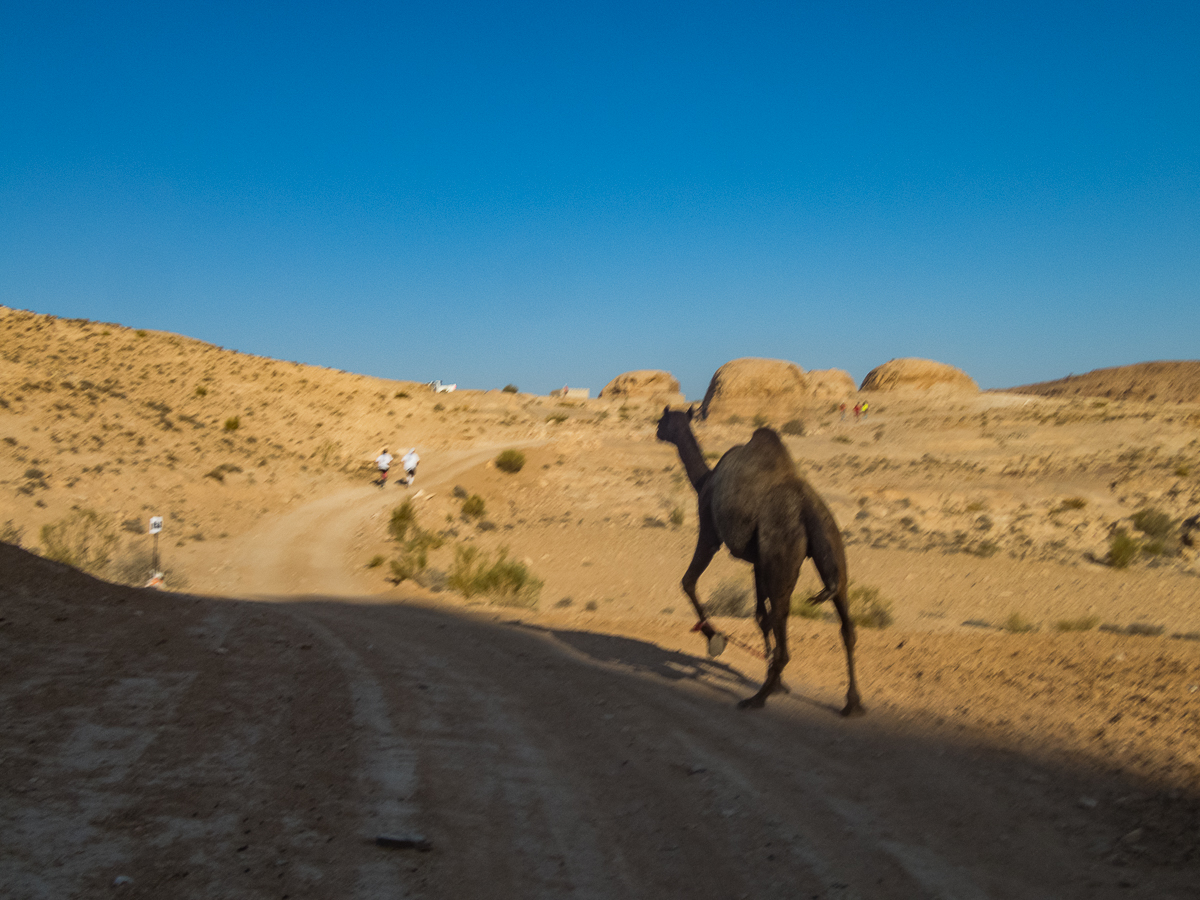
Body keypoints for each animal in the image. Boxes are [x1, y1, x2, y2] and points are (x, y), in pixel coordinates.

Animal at [657, 408, 864, 720]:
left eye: (664, 418)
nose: (657, 430)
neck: (705, 479)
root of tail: (810, 510)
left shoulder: (710, 531)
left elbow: (688, 581)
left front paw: (714, 639)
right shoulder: (758, 561)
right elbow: (759, 617)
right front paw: (777, 682)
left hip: (782, 556)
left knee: (784, 630)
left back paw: (756, 698)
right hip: (833, 552)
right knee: (846, 626)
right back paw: (852, 703)